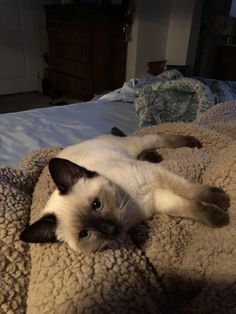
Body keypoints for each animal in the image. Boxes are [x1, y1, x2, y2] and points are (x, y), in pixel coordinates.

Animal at [20, 131, 229, 253]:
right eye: (85, 234)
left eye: (97, 204)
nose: (111, 229)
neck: (133, 206)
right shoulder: (159, 199)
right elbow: (190, 207)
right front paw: (219, 218)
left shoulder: (155, 177)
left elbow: (192, 191)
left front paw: (223, 202)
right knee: (147, 149)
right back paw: (153, 155)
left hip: (135, 144)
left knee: (159, 137)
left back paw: (192, 142)